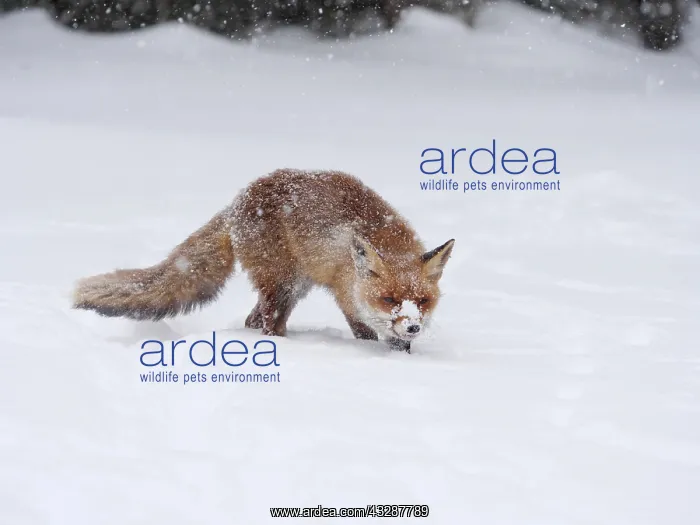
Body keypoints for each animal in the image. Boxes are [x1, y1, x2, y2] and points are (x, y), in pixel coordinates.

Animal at [72, 169, 455, 352]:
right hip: (282, 285)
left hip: (294, 286)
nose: (414, 326)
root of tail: (238, 200)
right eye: (389, 299)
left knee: (252, 320)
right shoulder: (344, 292)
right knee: (269, 324)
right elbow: (364, 330)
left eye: (422, 301)